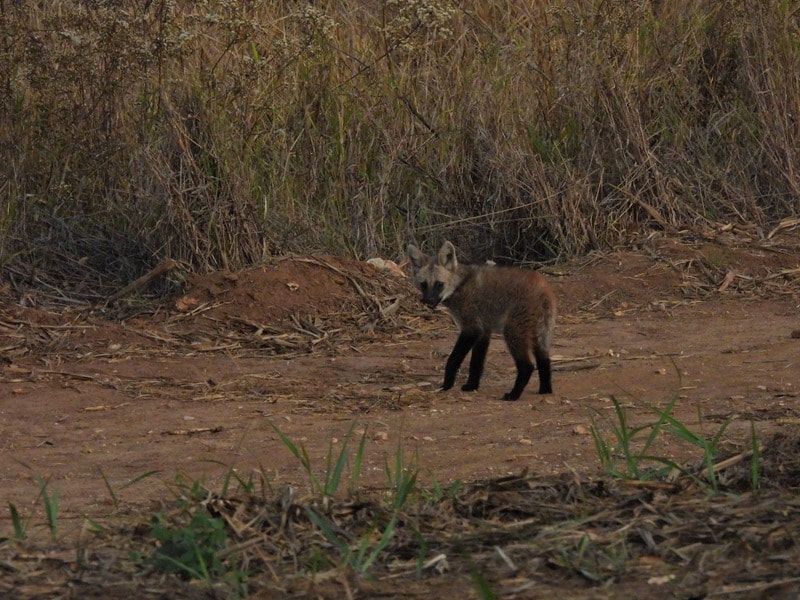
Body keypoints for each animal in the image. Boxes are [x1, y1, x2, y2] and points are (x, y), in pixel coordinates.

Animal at [408, 241, 556, 400]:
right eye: (423, 284)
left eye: (439, 284)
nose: (428, 301)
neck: (460, 285)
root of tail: (543, 288)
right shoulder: (483, 331)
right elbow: (476, 363)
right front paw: (472, 386)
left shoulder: (471, 329)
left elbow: (452, 360)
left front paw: (446, 386)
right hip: (538, 334)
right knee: (544, 360)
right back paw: (545, 390)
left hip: (512, 333)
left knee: (527, 366)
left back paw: (513, 395)